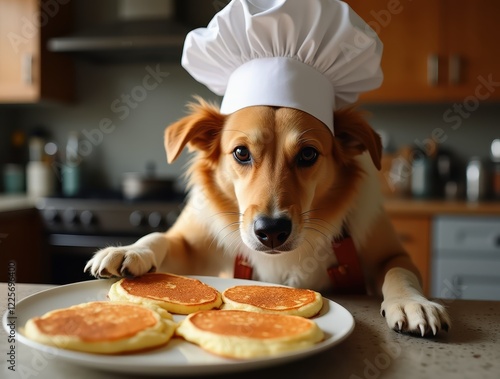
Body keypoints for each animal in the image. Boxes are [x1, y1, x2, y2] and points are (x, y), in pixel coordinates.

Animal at [86, 99, 450, 336]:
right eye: (241, 153)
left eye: (308, 154)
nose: (272, 231)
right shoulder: (191, 246)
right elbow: (161, 237)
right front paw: (129, 250)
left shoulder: (391, 252)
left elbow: (399, 272)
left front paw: (412, 303)